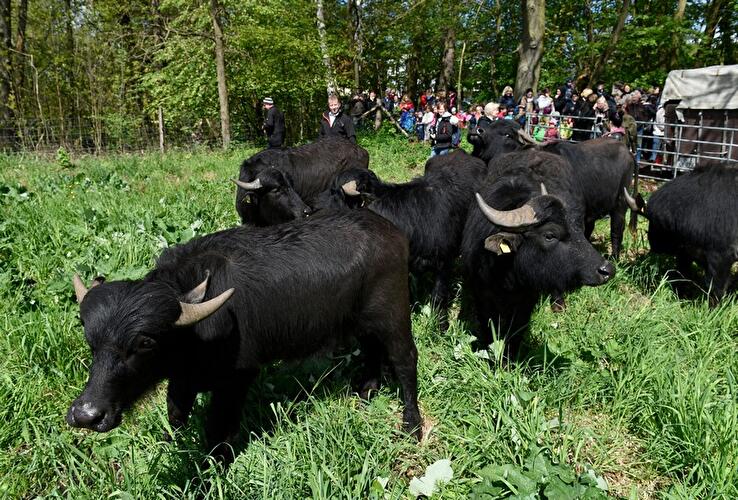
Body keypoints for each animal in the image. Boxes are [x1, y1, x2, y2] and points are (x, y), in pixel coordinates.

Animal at [67, 210, 421, 464]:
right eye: (91, 339)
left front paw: (213, 468)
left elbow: (217, 429)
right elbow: (176, 412)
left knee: (405, 359)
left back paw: (412, 425)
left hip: (393, 315)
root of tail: (393, 232)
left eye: (144, 343)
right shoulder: (183, 378)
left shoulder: (237, 379)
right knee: (371, 349)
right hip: (360, 321)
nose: (86, 415)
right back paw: (366, 390)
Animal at [462, 149, 615, 354]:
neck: (505, 273)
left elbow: (515, 332)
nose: (607, 270)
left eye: (577, 228)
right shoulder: (480, 294)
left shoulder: (526, 301)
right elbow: (488, 327)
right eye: (550, 235)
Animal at [625, 161, 738, 305]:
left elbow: (716, 289)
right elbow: (682, 274)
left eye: (654, 223)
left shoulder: (721, 257)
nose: (654, 246)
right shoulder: (688, 252)